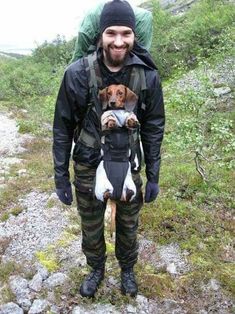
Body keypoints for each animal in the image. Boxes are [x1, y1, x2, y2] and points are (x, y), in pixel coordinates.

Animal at [95, 84, 140, 237]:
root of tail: (116, 195)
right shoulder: (105, 117)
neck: (118, 111)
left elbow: (129, 119)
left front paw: (132, 122)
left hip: (130, 187)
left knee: (129, 195)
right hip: (101, 187)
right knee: (104, 195)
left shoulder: (127, 116)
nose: (112, 102)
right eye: (109, 93)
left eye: (120, 93)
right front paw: (112, 122)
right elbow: (108, 118)